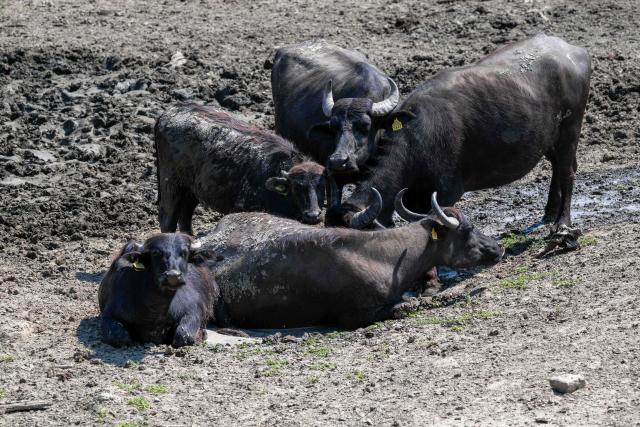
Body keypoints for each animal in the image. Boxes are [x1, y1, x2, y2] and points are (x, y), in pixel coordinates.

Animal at [154, 104, 328, 233]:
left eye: (321, 186)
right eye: (297, 187)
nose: (313, 215)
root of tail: (169, 112)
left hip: (191, 189)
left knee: (185, 217)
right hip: (170, 184)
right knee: (168, 219)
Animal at [329, 34, 591, 250]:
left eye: (353, 240)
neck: (415, 144)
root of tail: (575, 51)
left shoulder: (444, 193)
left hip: (571, 127)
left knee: (567, 172)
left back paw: (562, 226)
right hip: (551, 138)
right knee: (559, 167)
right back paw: (548, 215)